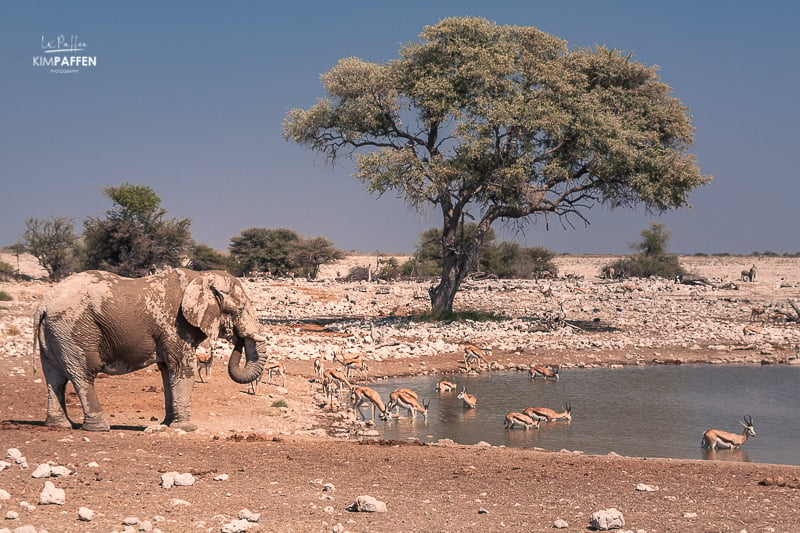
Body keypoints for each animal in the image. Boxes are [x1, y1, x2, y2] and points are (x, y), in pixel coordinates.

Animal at [33, 268, 268, 430]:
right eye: (239, 309)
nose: (236, 337)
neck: (201, 276)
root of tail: (43, 304)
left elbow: (167, 371)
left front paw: (166, 425)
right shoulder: (175, 326)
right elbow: (182, 368)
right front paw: (186, 428)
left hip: (55, 332)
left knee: (55, 377)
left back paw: (60, 425)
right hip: (74, 329)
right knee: (83, 374)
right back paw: (99, 428)